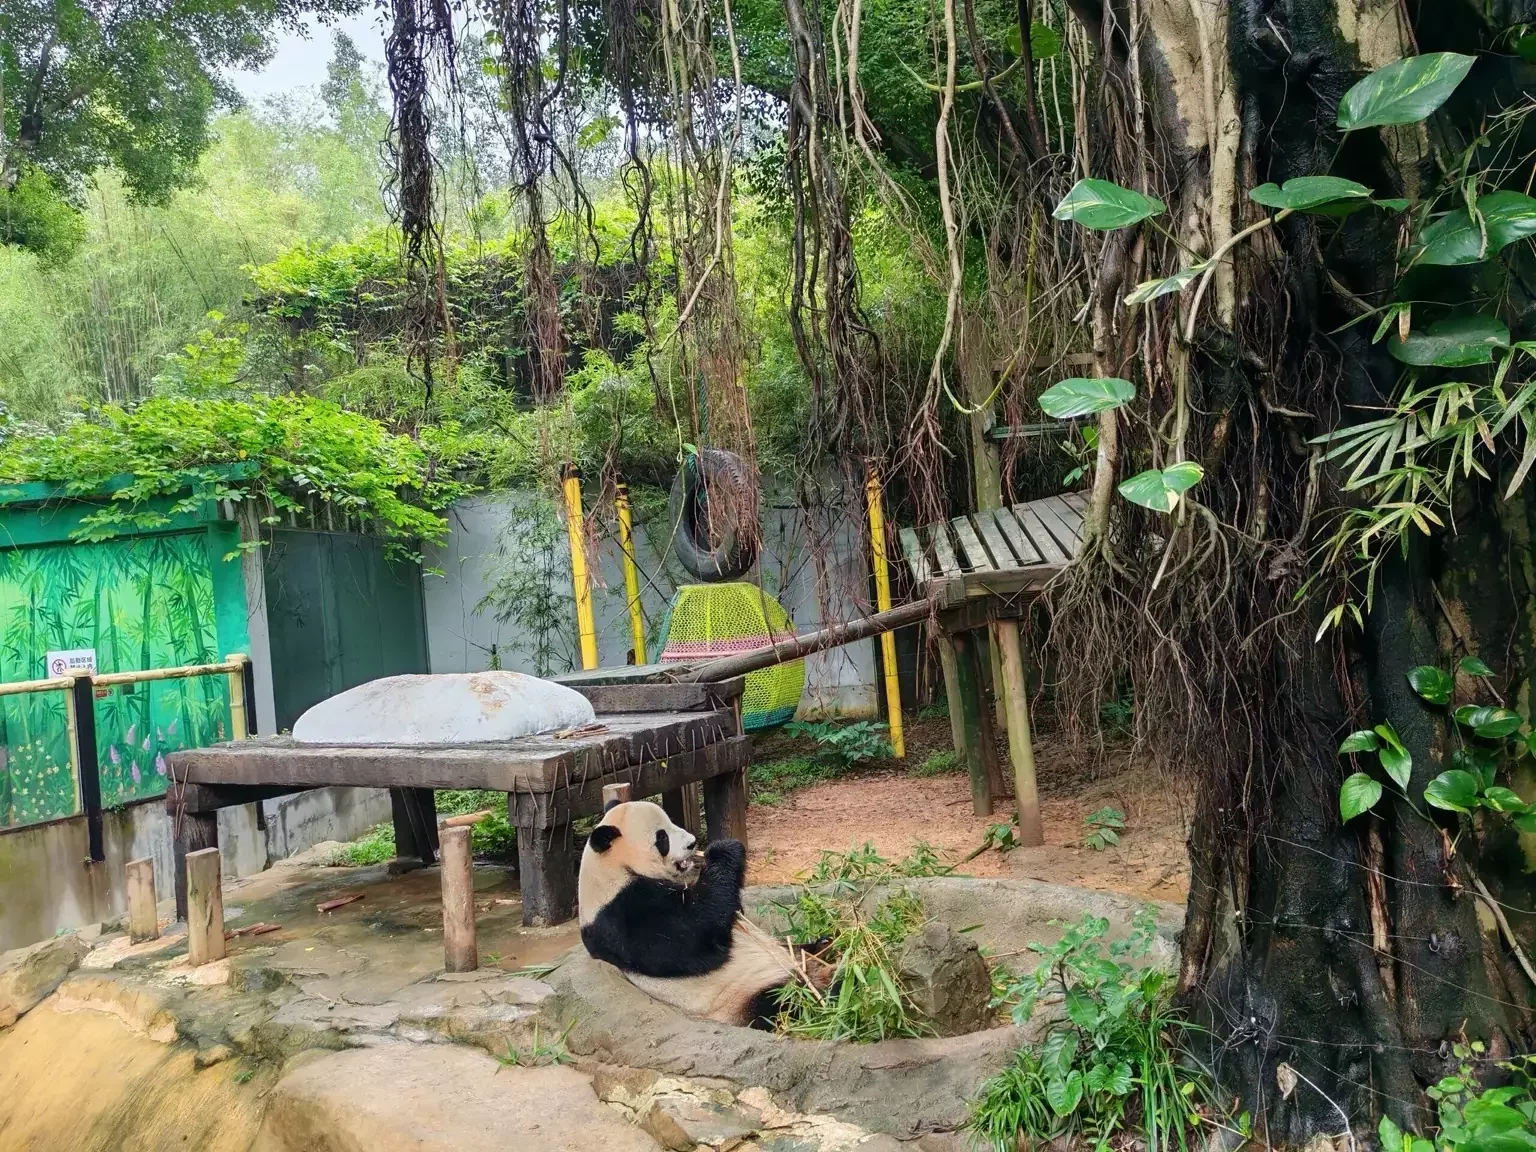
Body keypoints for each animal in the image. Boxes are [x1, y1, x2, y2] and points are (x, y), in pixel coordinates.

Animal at [578, 799, 812, 1029]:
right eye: (662, 837)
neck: (612, 869)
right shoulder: (624, 913)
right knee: (783, 1003)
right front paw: (723, 849)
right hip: (744, 993)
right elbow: (695, 936)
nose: (692, 844)